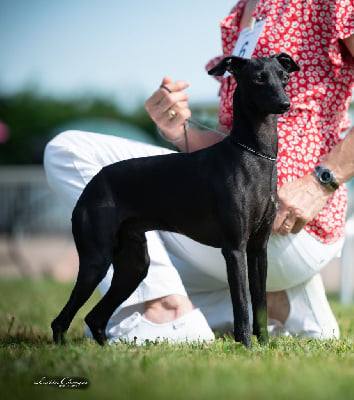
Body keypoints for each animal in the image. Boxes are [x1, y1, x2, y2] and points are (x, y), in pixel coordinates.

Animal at [51, 52, 298, 346]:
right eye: (258, 78)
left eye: (284, 77)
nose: (285, 104)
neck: (253, 154)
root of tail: (92, 184)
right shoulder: (235, 249)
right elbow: (242, 305)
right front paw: (246, 347)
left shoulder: (258, 249)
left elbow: (260, 304)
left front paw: (265, 346)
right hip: (96, 261)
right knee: (62, 319)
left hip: (134, 266)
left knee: (95, 317)